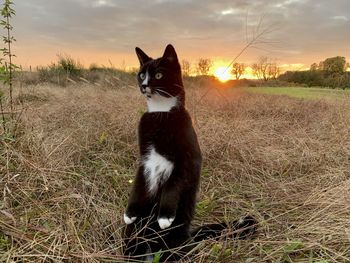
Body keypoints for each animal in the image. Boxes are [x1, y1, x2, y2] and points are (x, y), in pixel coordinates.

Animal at [123, 44, 258, 262]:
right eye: (141, 74)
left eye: (159, 75)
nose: (143, 85)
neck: (161, 114)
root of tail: (189, 236)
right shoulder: (145, 160)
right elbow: (138, 183)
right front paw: (129, 213)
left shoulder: (188, 159)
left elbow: (173, 184)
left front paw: (164, 217)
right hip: (134, 236)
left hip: (174, 239)